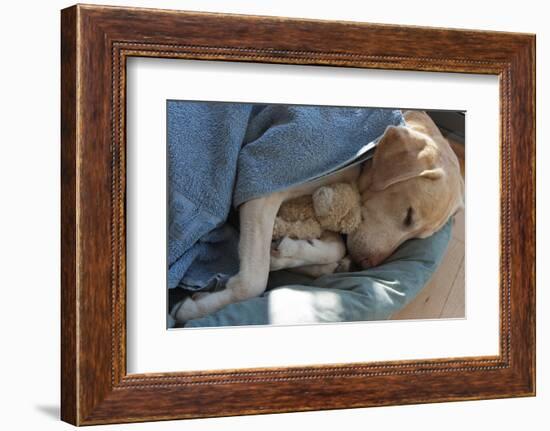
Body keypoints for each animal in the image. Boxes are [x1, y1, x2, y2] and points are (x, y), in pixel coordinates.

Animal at [177, 109, 466, 322]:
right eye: (408, 216)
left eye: (417, 236)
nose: (365, 266)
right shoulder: (262, 187)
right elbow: (254, 281)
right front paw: (195, 308)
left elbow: (333, 249)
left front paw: (291, 252)